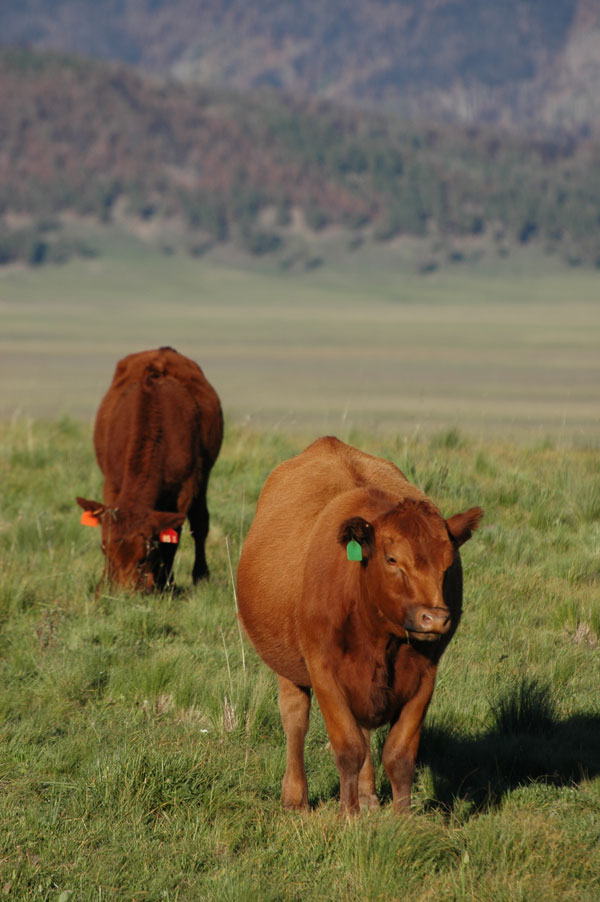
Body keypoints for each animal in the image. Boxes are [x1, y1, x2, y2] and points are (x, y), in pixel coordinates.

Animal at [77, 346, 223, 592]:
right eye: (104, 549)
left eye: (144, 555)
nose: (123, 593)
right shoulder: (112, 481)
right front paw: (103, 585)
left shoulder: (185, 489)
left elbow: (173, 537)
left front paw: (165, 583)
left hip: (204, 477)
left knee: (200, 523)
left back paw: (200, 576)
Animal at [237, 438, 480, 820]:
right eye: (392, 559)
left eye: (448, 563)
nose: (435, 618)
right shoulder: (324, 673)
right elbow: (348, 748)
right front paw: (346, 815)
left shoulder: (424, 676)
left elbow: (398, 754)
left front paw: (402, 818)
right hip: (288, 668)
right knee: (295, 721)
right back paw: (296, 797)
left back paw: (367, 796)